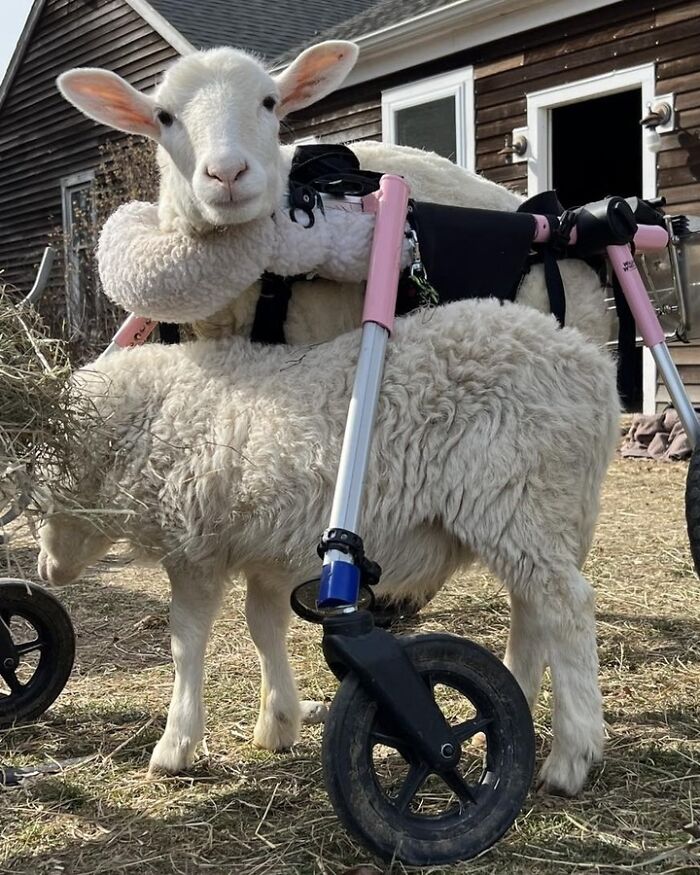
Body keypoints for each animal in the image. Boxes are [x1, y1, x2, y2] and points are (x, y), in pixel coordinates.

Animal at [37, 297, 620, 796]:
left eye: (46, 496)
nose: (46, 570)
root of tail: (594, 368)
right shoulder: (266, 554)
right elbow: (264, 627)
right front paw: (278, 721)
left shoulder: (194, 547)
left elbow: (186, 642)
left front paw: (175, 745)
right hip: (534, 515)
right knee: (532, 606)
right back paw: (509, 703)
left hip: (518, 494)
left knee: (566, 607)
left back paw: (572, 755)